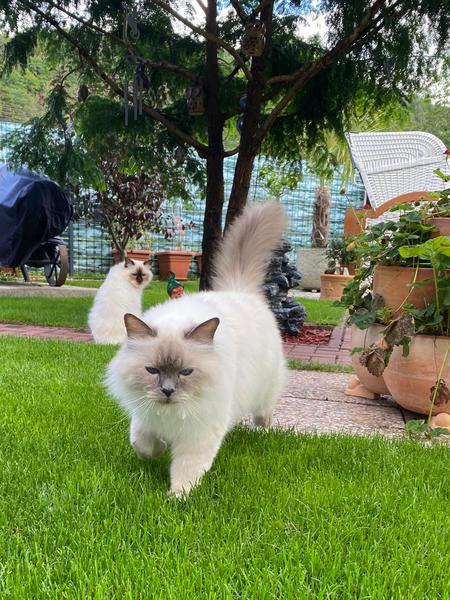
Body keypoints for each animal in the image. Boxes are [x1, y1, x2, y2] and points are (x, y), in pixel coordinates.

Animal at [105, 203, 287, 496]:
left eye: (186, 372)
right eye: (152, 370)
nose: (168, 391)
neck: (170, 414)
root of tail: (240, 290)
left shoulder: (199, 432)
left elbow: (185, 471)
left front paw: (176, 498)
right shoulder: (144, 415)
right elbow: (141, 444)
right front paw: (157, 451)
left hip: (264, 394)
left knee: (263, 416)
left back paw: (261, 434)